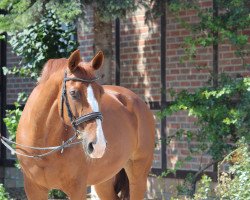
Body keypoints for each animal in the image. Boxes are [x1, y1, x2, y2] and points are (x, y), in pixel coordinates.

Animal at [16, 50, 154, 200]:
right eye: (73, 93)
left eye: (101, 92)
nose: (98, 146)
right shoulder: (33, 189)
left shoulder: (77, 188)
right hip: (103, 180)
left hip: (138, 174)